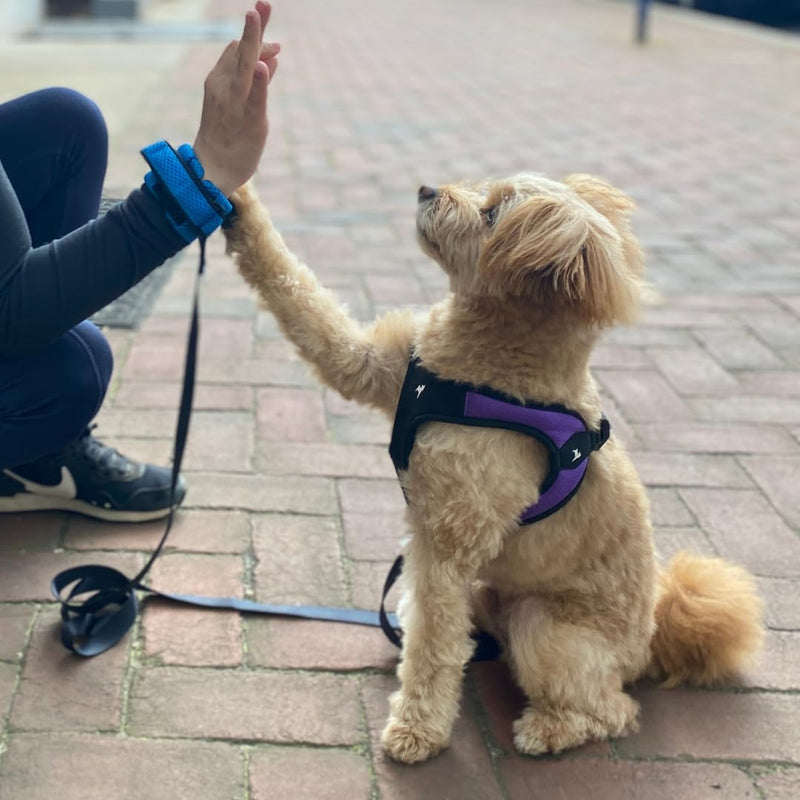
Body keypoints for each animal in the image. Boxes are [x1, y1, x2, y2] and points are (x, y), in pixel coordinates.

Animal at [223, 173, 764, 764]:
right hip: (492, 595)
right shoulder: (369, 365)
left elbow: (433, 645)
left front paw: (416, 730)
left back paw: (548, 730)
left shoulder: (449, 546)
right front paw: (236, 201)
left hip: (545, 627)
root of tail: (651, 640)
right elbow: (299, 294)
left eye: (490, 215)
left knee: (613, 710)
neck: (484, 375)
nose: (425, 188)